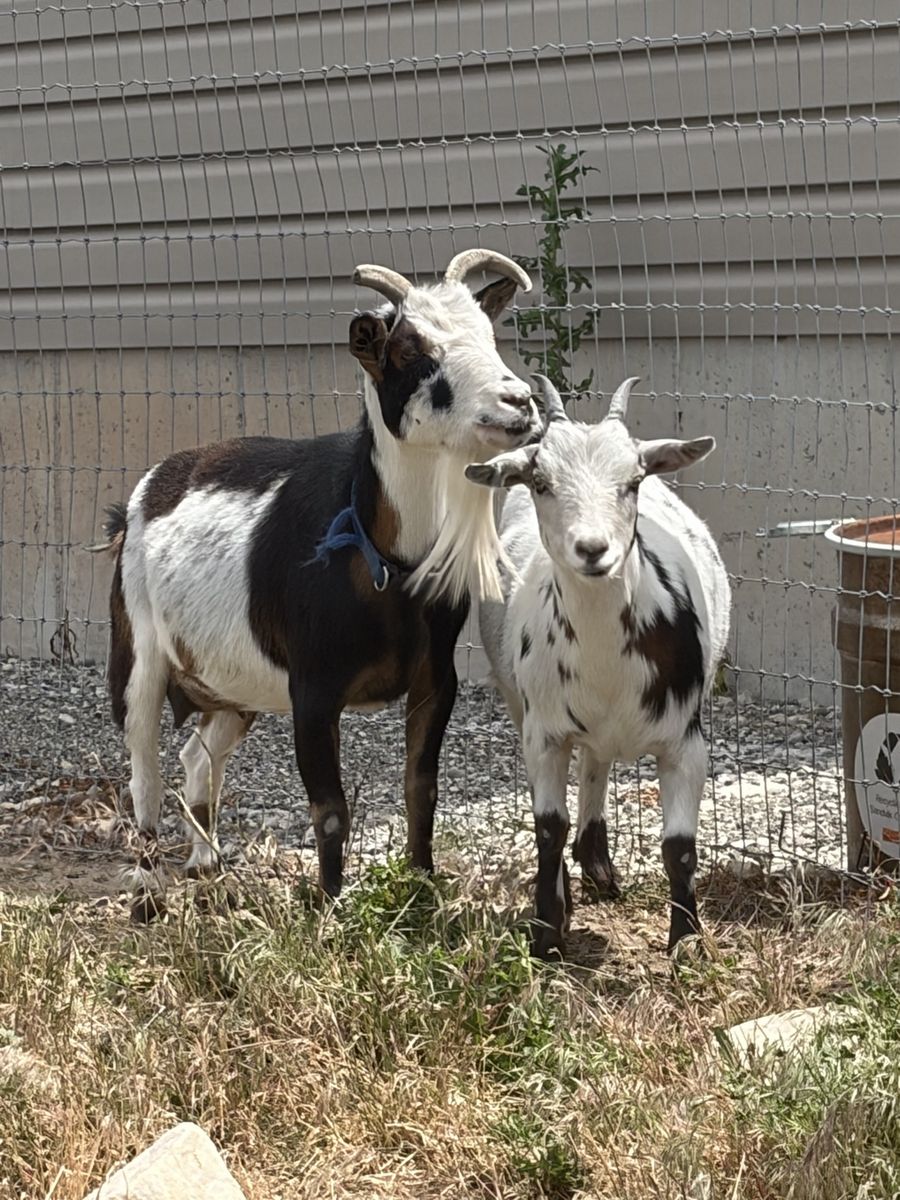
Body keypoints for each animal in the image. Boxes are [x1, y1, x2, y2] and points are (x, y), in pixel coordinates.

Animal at [97, 250, 540, 921]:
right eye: (412, 350)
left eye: (491, 338)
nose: (518, 403)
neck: (380, 554)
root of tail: (146, 491)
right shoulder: (312, 688)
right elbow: (330, 811)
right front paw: (331, 909)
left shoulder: (436, 679)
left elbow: (422, 788)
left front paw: (421, 888)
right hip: (139, 646)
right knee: (142, 764)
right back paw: (147, 890)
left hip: (236, 683)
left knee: (199, 754)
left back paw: (205, 863)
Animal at [466, 374, 731, 956]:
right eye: (540, 481)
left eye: (632, 480)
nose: (592, 549)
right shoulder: (543, 732)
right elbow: (548, 829)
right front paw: (548, 931)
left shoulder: (687, 741)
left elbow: (679, 846)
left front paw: (687, 942)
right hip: (519, 702)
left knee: (597, 762)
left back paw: (600, 867)